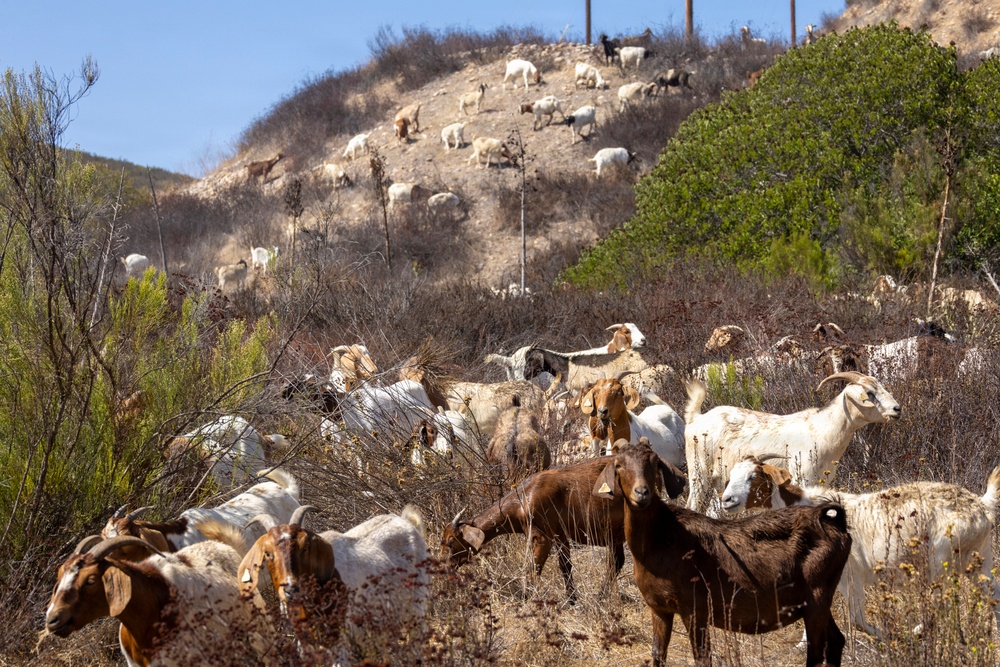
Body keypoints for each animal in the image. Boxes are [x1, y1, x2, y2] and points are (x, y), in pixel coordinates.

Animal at [594, 442, 851, 667]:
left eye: (654, 463)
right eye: (619, 465)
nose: (641, 493)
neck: (660, 539)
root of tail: (831, 521)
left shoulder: (695, 610)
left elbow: (702, 659)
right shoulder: (660, 609)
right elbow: (658, 656)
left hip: (817, 596)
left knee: (817, 653)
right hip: (816, 601)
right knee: (836, 640)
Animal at [684, 371, 901, 514]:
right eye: (870, 393)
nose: (897, 409)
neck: (821, 430)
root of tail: (696, 418)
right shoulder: (801, 478)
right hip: (699, 475)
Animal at [722, 457, 1000, 639]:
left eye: (754, 477)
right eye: (730, 477)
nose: (726, 500)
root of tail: (981, 505)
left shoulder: (850, 576)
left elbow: (856, 620)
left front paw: (889, 636)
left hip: (940, 560)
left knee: (938, 603)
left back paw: (917, 631)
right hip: (980, 559)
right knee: (994, 594)